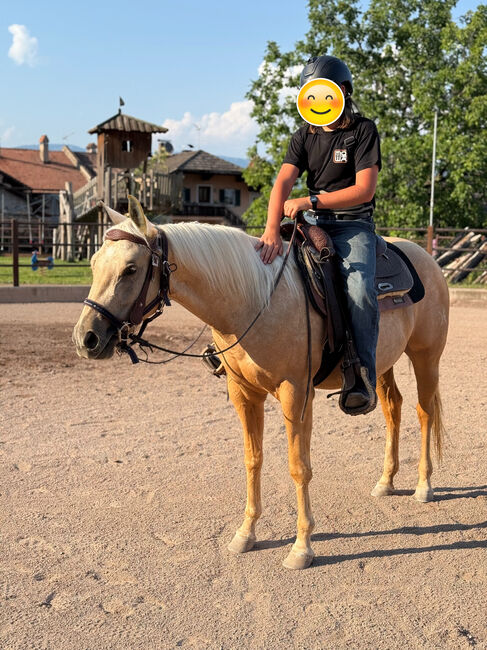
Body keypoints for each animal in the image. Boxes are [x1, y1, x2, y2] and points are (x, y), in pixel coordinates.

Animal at [73, 198, 449, 570]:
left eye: (130, 269)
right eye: (93, 263)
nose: (86, 338)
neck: (255, 300)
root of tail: (425, 256)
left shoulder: (296, 393)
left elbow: (299, 467)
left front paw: (301, 547)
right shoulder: (245, 394)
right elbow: (252, 459)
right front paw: (246, 534)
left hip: (426, 358)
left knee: (424, 412)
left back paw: (423, 485)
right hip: (381, 363)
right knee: (392, 408)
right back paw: (386, 481)